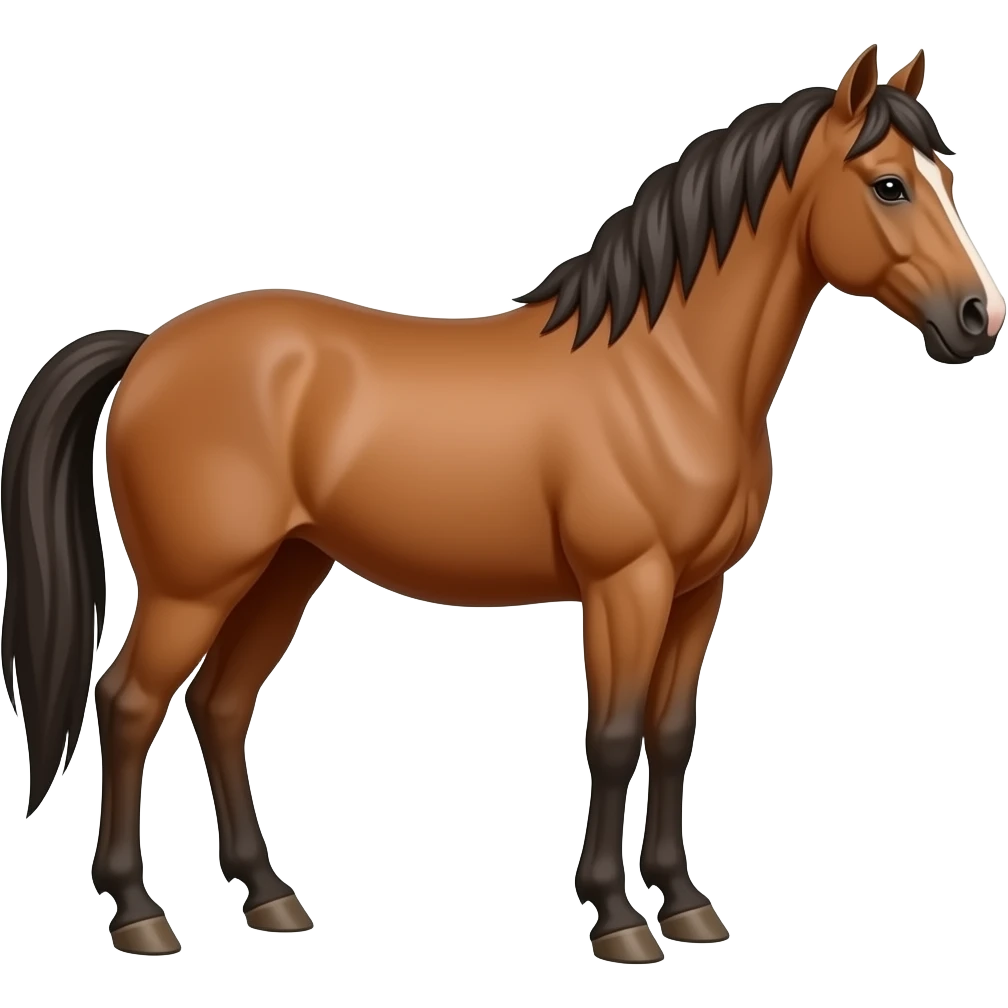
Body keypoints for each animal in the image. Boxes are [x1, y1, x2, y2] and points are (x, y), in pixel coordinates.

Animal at [1, 43, 1002, 962]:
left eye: (947, 175)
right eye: (888, 186)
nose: (977, 319)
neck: (669, 369)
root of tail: (150, 348)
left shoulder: (697, 590)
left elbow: (672, 735)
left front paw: (686, 904)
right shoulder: (626, 585)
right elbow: (614, 735)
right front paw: (618, 918)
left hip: (287, 568)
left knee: (220, 704)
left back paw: (271, 897)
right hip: (195, 583)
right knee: (129, 702)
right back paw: (138, 913)